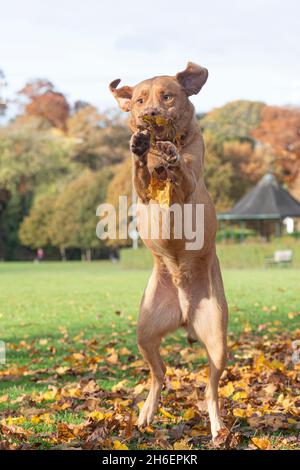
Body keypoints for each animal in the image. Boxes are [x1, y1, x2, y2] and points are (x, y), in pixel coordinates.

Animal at [109, 63, 229, 440]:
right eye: (139, 99)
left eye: (168, 96)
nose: (149, 114)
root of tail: (185, 312)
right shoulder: (143, 192)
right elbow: (141, 173)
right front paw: (140, 147)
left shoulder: (188, 185)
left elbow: (182, 172)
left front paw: (170, 156)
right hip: (145, 332)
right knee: (158, 373)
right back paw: (146, 412)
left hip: (217, 338)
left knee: (210, 388)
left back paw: (218, 428)